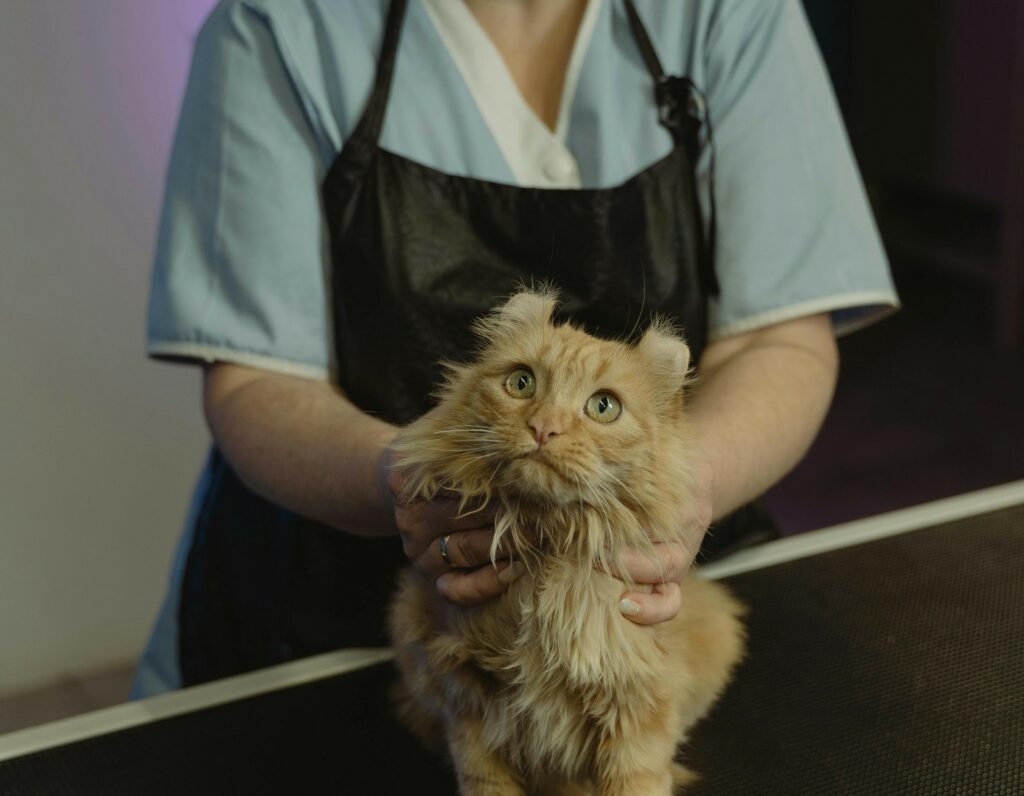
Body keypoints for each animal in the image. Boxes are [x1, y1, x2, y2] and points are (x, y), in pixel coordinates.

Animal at [387, 290, 741, 794]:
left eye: (604, 407)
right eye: (521, 382)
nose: (544, 428)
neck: (546, 552)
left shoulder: (635, 704)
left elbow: (637, 780)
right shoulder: (464, 698)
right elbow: (483, 778)